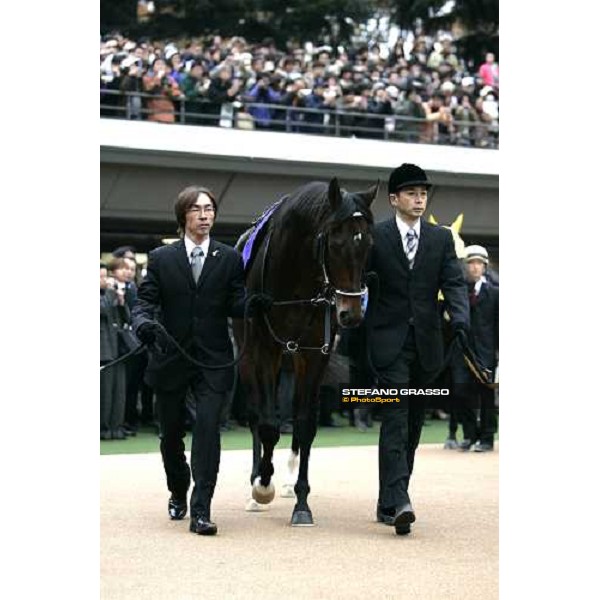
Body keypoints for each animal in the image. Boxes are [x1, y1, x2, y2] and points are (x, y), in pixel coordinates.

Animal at [233, 177, 378, 524]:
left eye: (367, 244)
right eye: (336, 242)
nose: (351, 314)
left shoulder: (314, 353)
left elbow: (305, 424)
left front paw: (301, 502)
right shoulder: (266, 349)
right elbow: (268, 425)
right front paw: (263, 485)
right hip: (248, 355)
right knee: (256, 414)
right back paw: (257, 483)